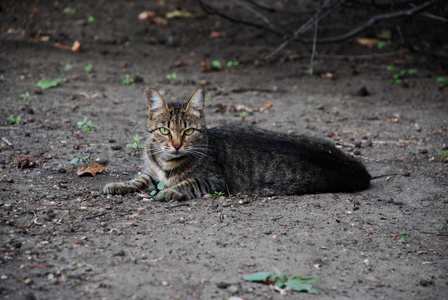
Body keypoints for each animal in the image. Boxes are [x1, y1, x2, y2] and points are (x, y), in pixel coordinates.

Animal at [104, 86, 372, 200]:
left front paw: (170, 191)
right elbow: (141, 178)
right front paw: (118, 184)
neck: (167, 162)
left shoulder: (216, 181)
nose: (178, 145)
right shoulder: (153, 172)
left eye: (188, 131)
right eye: (164, 131)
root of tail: (362, 172)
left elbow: (188, 183)